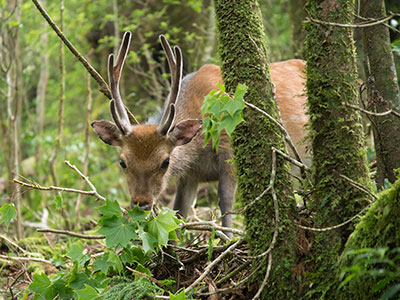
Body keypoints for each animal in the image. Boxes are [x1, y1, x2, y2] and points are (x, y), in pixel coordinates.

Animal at [91, 31, 310, 237]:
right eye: (122, 162)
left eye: (165, 162)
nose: (141, 203)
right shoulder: (190, 174)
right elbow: (179, 211)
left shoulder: (228, 147)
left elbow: (225, 200)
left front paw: (227, 238)